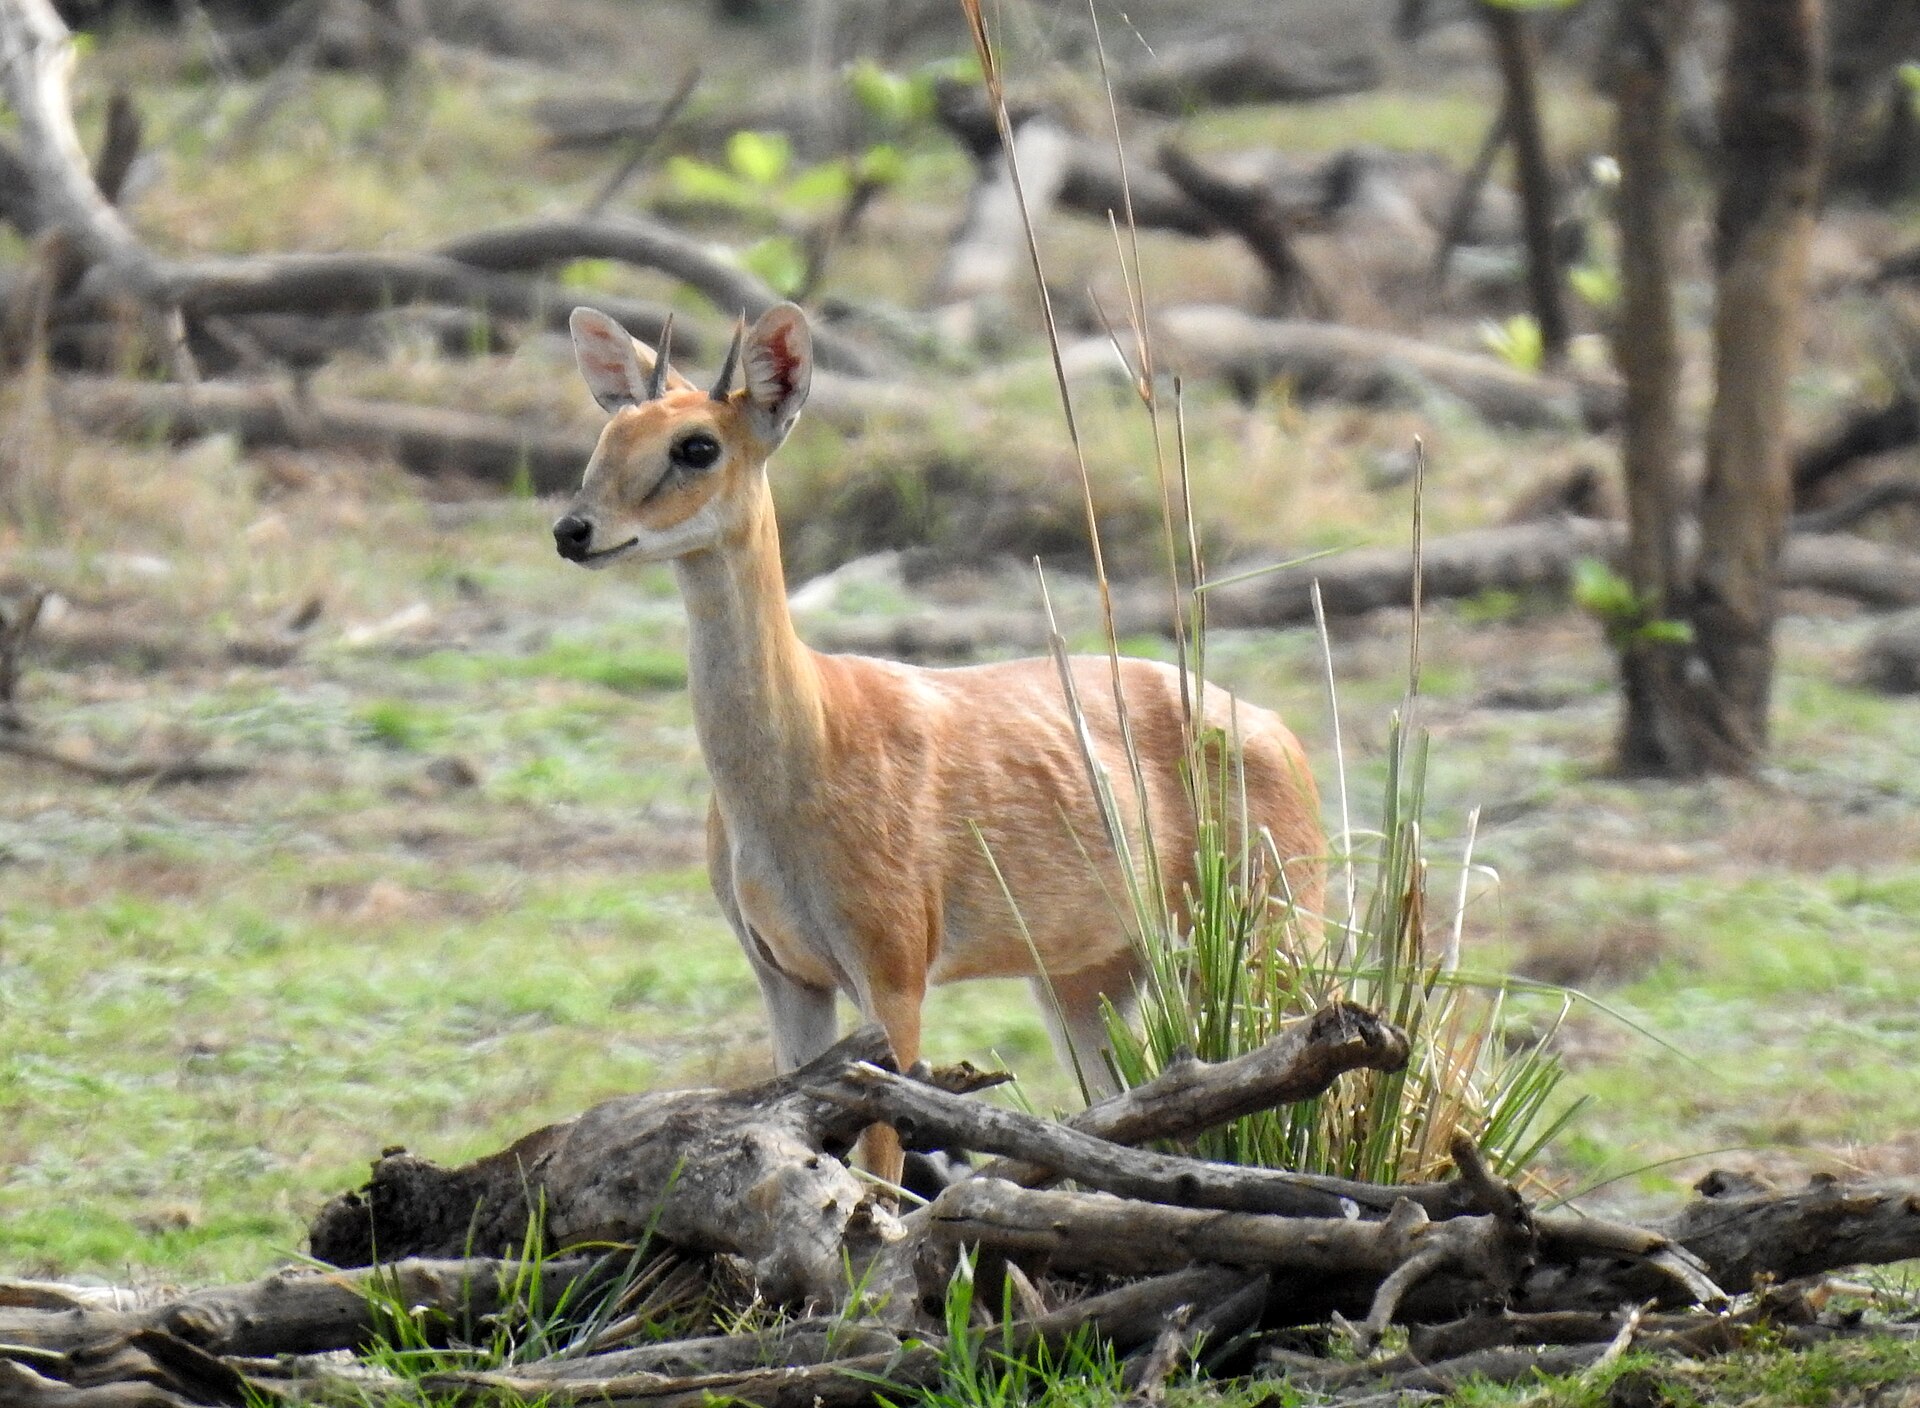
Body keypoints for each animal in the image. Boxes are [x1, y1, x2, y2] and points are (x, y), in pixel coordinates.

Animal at [552, 302, 1324, 1182]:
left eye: (697, 445)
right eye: (612, 431)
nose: (574, 530)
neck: (809, 747)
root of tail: (1279, 733)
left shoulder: (895, 965)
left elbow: (883, 1161)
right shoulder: (780, 970)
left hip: (1278, 922)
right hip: (1089, 974)